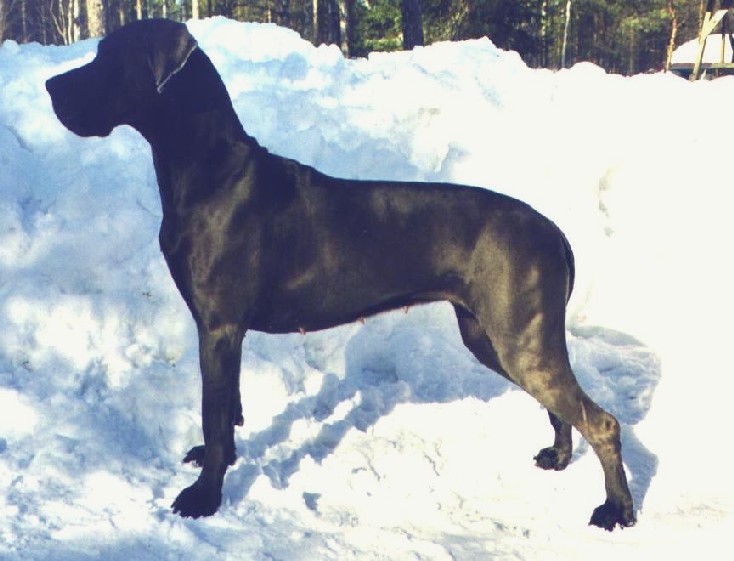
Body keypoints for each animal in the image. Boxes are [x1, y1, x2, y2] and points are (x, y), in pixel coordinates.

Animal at [46, 19, 635, 530]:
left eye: (108, 58)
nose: (50, 85)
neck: (208, 170)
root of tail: (553, 230)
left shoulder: (217, 327)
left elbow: (215, 414)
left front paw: (205, 497)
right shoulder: (223, 332)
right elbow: (228, 409)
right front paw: (222, 462)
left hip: (517, 339)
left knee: (601, 421)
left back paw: (617, 510)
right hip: (495, 336)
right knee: (561, 407)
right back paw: (558, 458)